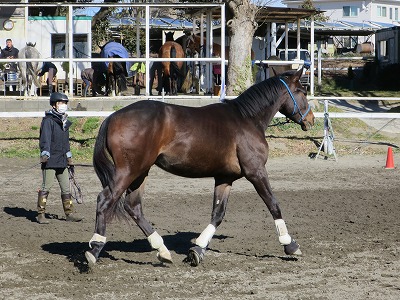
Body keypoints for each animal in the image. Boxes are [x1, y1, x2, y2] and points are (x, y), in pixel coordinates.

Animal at [86, 69, 314, 268]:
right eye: (302, 91)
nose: (310, 119)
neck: (247, 120)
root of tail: (113, 117)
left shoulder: (224, 178)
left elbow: (218, 214)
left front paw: (197, 250)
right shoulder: (256, 172)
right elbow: (273, 204)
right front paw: (290, 245)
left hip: (140, 173)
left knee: (133, 207)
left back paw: (162, 250)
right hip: (128, 171)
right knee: (105, 200)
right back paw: (95, 248)